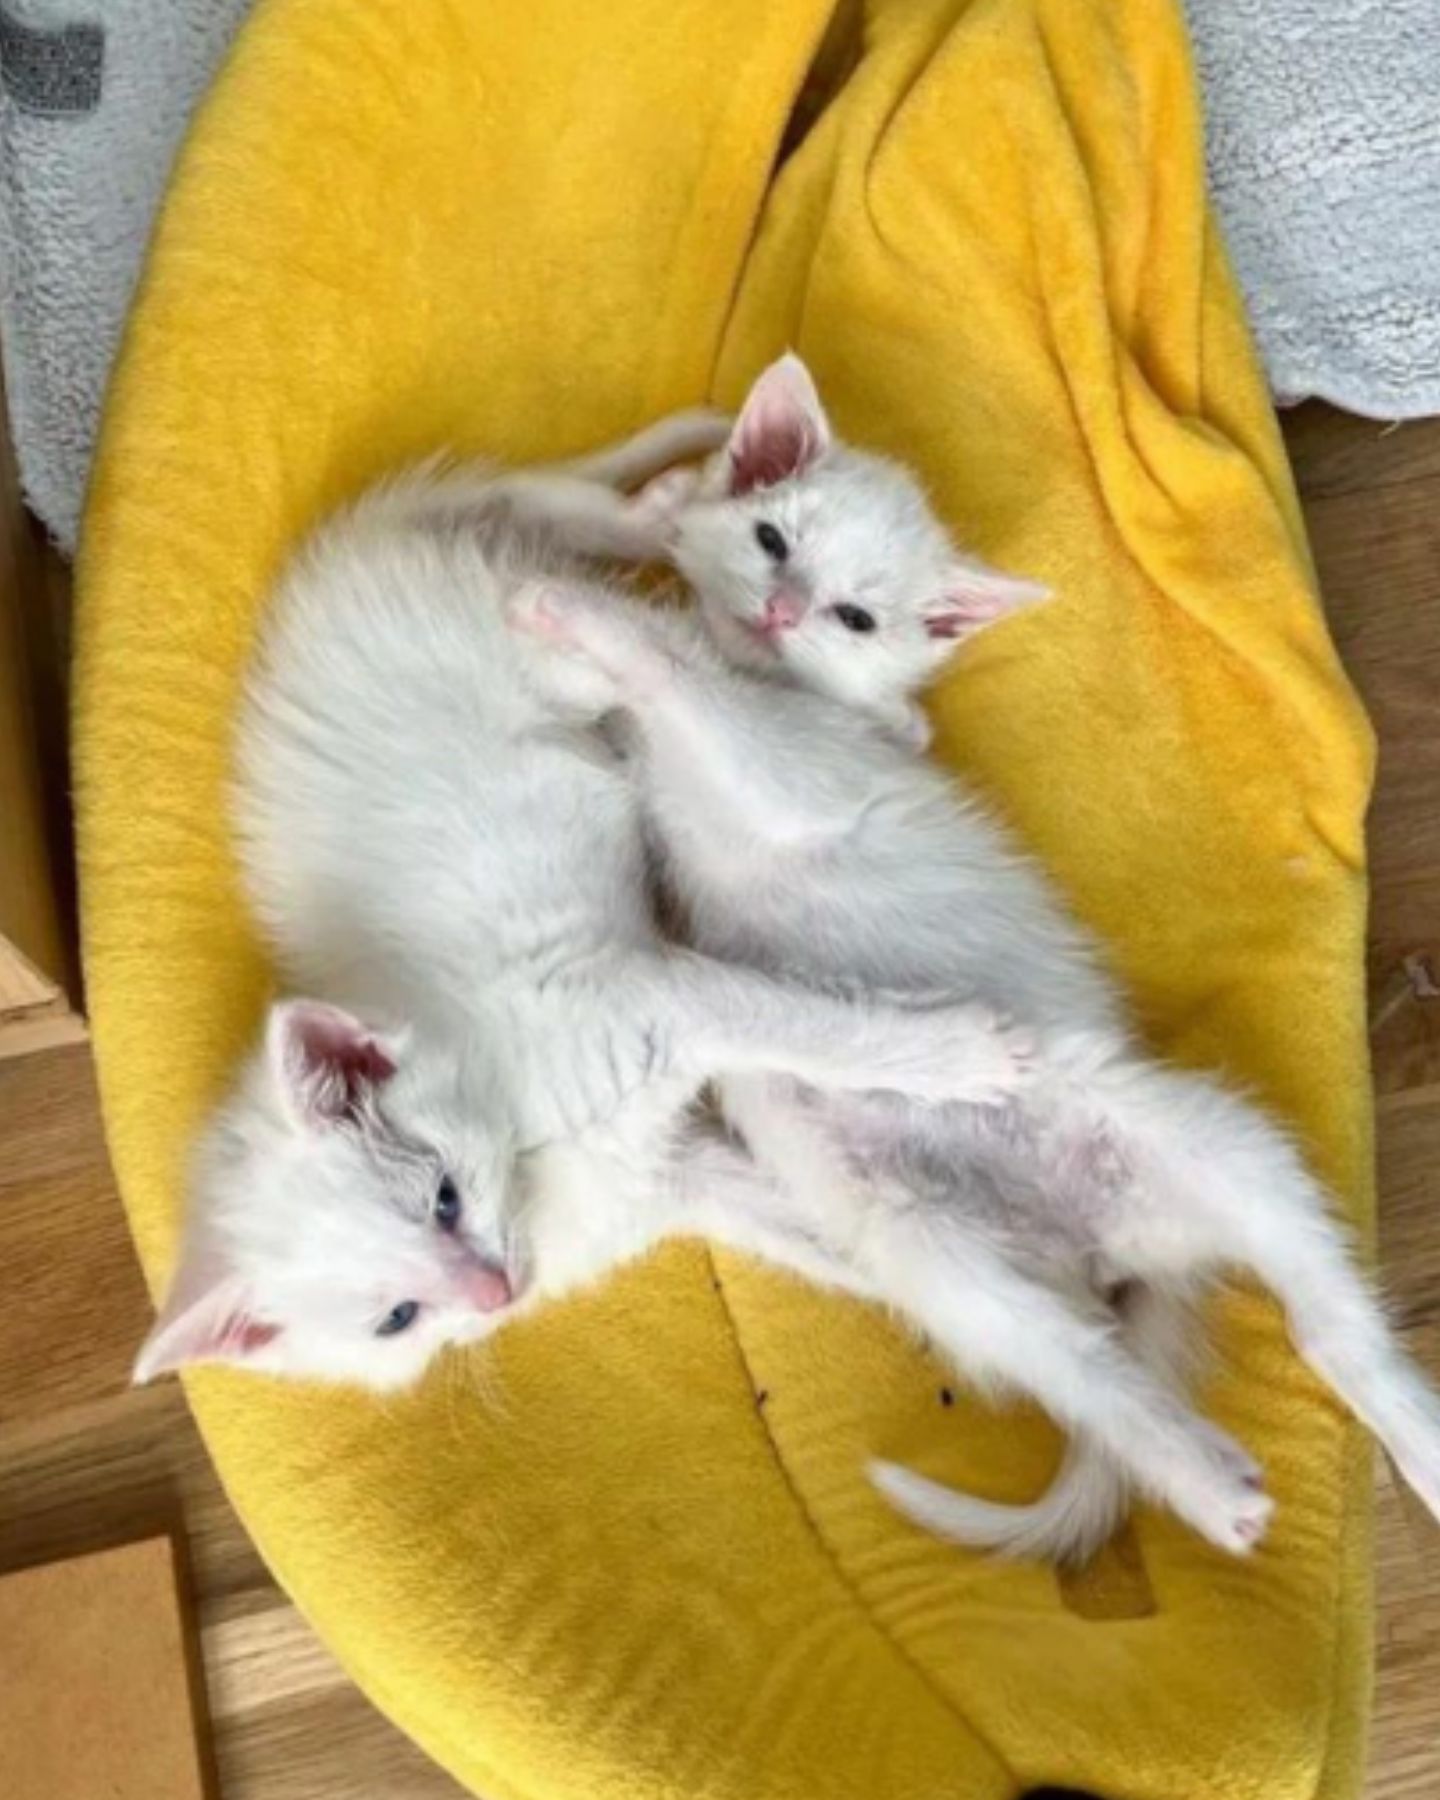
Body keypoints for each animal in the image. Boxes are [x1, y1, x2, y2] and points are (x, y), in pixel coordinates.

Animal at [135, 412, 1022, 1389]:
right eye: (397, 1319)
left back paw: (686, 520)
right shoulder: (667, 1177)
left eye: (444, 1198)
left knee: (653, 601)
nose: (493, 1295)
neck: (529, 1159)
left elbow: (818, 1029)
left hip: (552, 648)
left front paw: (966, 1056)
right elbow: (821, 1234)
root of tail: (352, 549)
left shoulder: (654, 996)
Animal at [507, 354, 1440, 1562]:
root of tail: (1095, 1253)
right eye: (773, 540)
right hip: (939, 1256)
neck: (767, 680)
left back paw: (1402, 1443)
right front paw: (666, 509)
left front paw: (583, 609)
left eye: (856, 617)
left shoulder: (795, 772)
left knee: (1328, 1325)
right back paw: (1204, 1482)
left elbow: (685, 681)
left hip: (1212, 1144)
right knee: (1090, 1373)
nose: (782, 610)